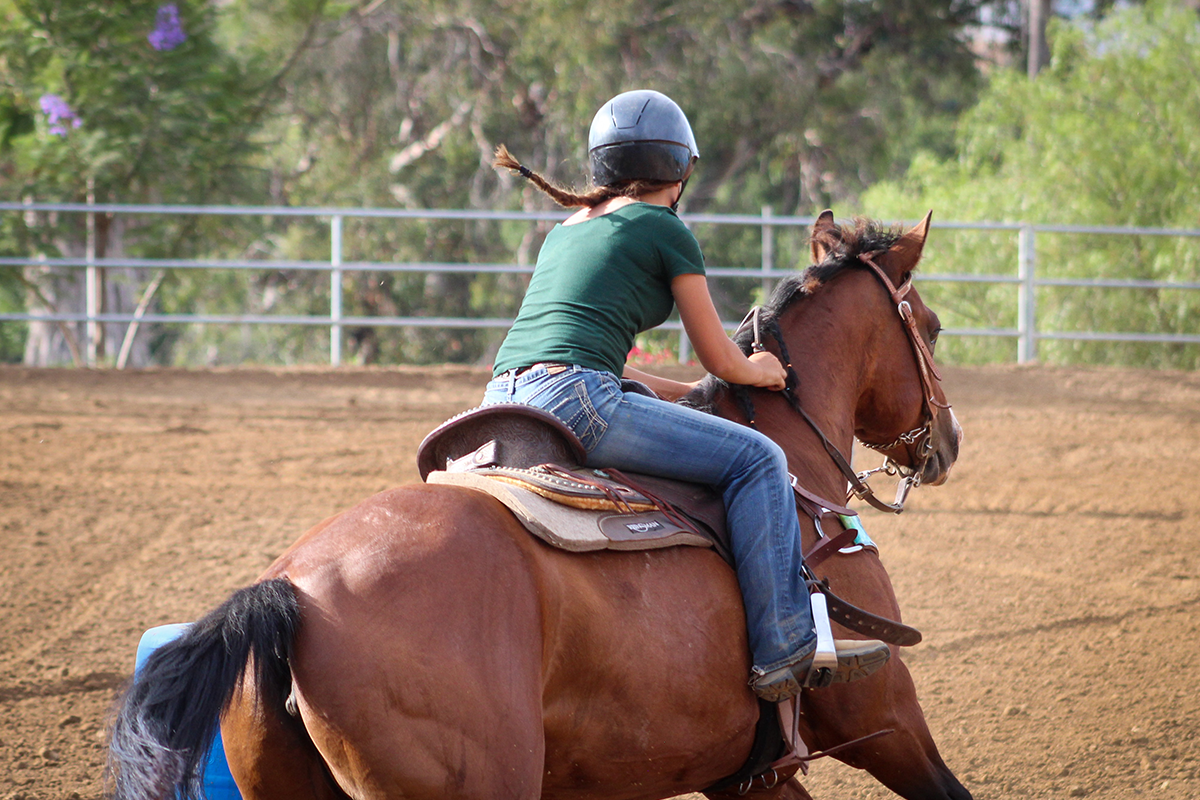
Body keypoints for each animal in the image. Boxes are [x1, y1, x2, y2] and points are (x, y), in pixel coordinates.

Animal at [108, 211, 969, 800]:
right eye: (930, 327)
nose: (949, 440)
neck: (792, 464)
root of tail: (288, 590)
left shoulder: (749, 775)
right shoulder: (886, 721)